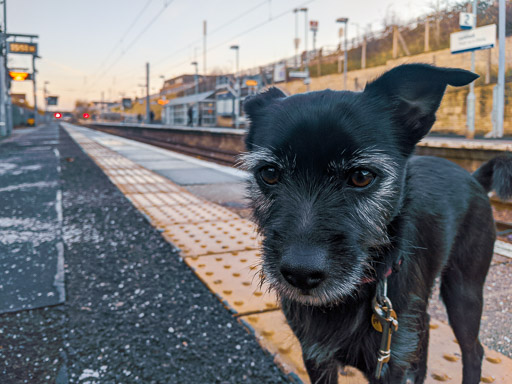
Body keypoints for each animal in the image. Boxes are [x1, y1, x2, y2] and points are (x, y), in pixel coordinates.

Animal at [241, 64, 512, 382]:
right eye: (269, 173)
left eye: (362, 176)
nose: (300, 273)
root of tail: (474, 178)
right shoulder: (316, 355)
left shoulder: (388, 365)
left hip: (464, 290)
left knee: (474, 351)